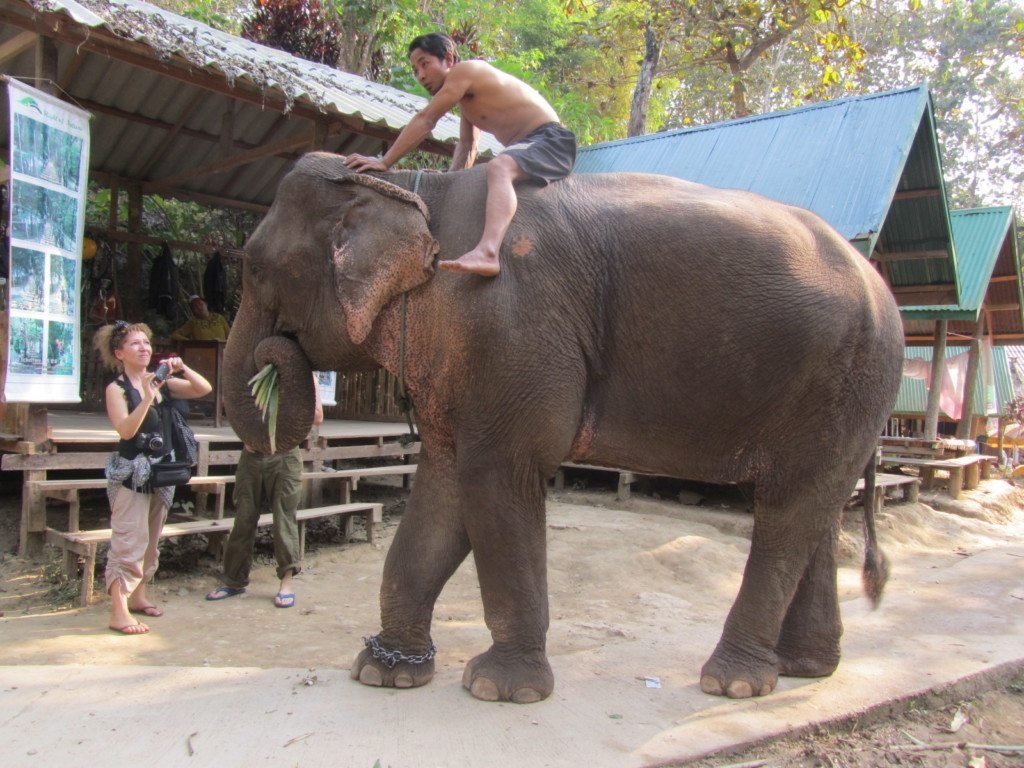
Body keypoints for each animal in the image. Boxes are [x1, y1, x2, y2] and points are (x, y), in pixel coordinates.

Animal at [223, 151, 904, 703]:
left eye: (253, 268)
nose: (274, 358)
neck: (417, 191)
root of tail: (881, 284)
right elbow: (445, 486)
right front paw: (384, 673)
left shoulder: (510, 327)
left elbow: (497, 476)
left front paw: (501, 691)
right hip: (843, 393)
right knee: (815, 509)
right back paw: (803, 669)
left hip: (844, 377)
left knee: (788, 511)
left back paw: (733, 683)